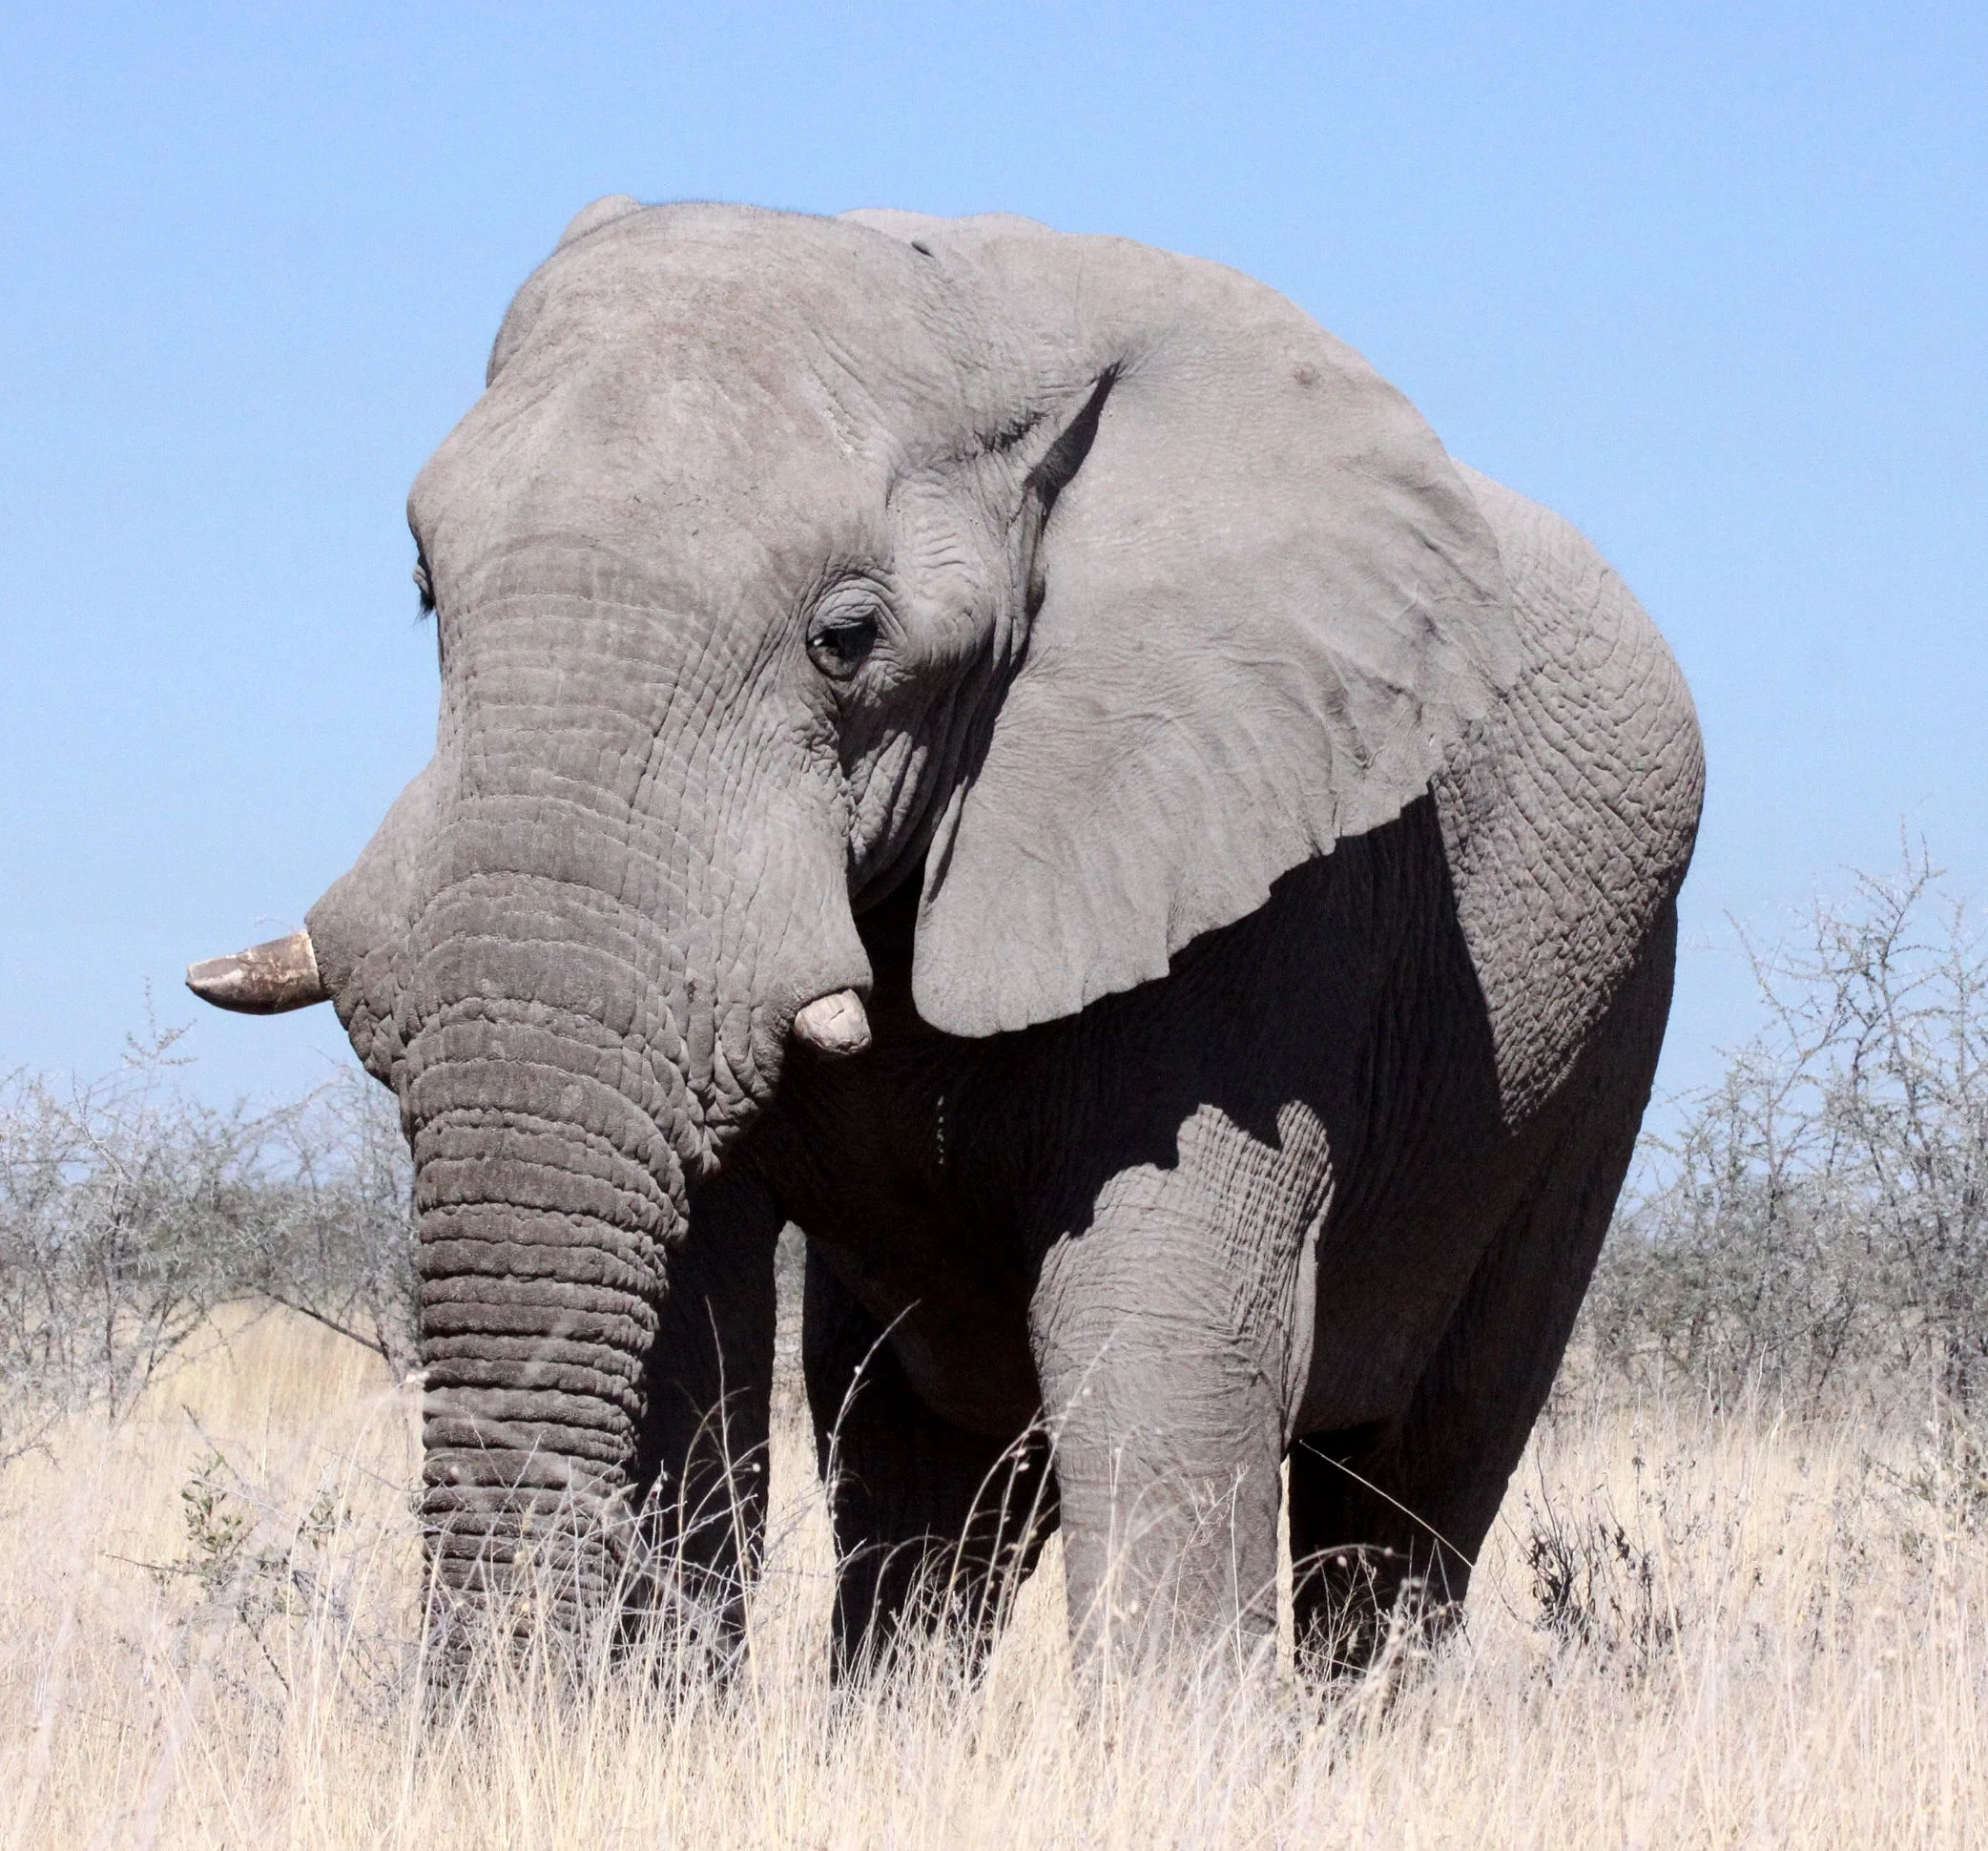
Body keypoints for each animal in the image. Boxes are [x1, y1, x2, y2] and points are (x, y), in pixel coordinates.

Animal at [189, 197, 1703, 1678]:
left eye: (847, 637)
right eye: (426, 589)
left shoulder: (1263, 879)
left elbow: (1157, 1330)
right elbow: (688, 1327)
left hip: (1595, 1049)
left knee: (1410, 1492)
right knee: (923, 1477)